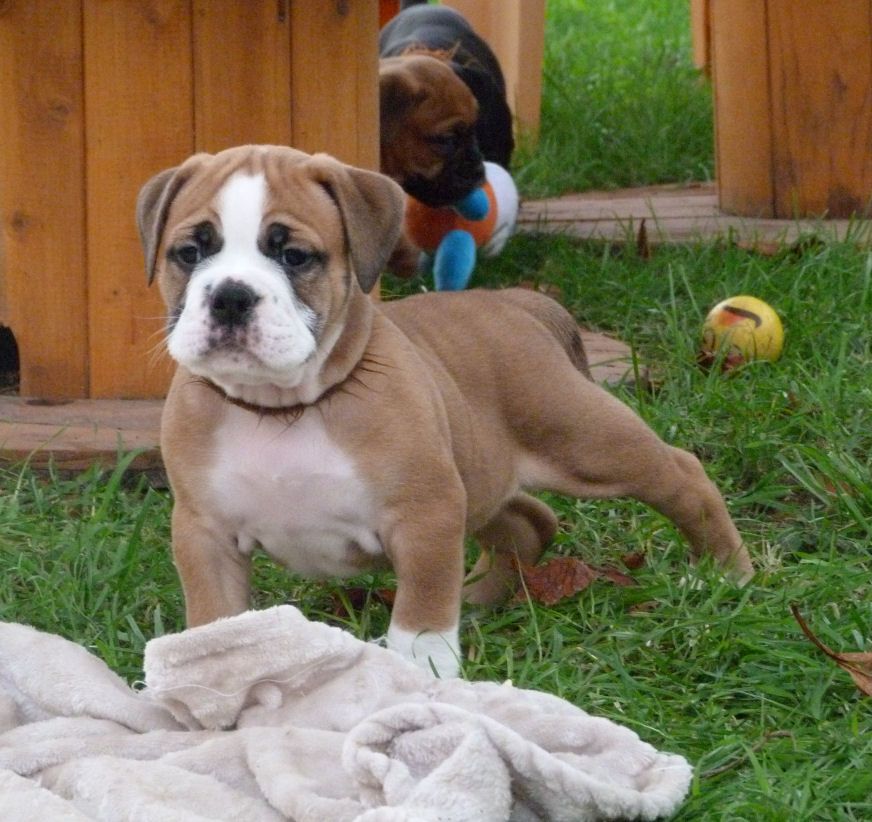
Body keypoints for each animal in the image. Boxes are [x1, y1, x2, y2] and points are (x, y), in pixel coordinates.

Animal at [140, 145, 752, 680]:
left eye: (293, 256)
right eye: (189, 253)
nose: (230, 296)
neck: (281, 408)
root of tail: (515, 302)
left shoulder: (426, 512)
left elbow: (424, 604)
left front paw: (424, 668)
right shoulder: (206, 534)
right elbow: (216, 618)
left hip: (585, 440)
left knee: (681, 475)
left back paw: (727, 574)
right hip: (481, 473)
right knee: (528, 521)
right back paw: (478, 597)